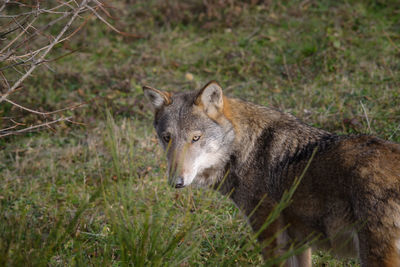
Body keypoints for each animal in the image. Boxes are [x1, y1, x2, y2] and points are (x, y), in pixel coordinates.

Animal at [144, 81, 400, 267]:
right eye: (167, 138)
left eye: (196, 138)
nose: (176, 182)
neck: (247, 149)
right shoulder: (299, 242)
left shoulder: (271, 240)